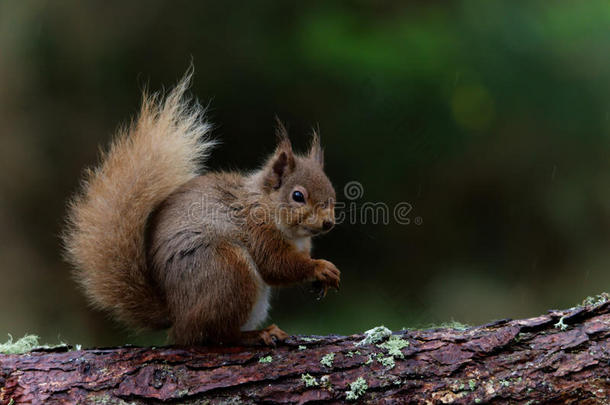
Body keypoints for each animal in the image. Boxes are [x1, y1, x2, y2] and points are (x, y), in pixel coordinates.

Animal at [64, 72, 340, 344]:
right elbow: (277, 265)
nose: (328, 223)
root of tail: (176, 314)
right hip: (229, 271)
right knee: (214, 334)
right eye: (298, 196)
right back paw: (256, 334)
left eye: (332, 195)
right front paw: (320, 267)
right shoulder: (257, 231)